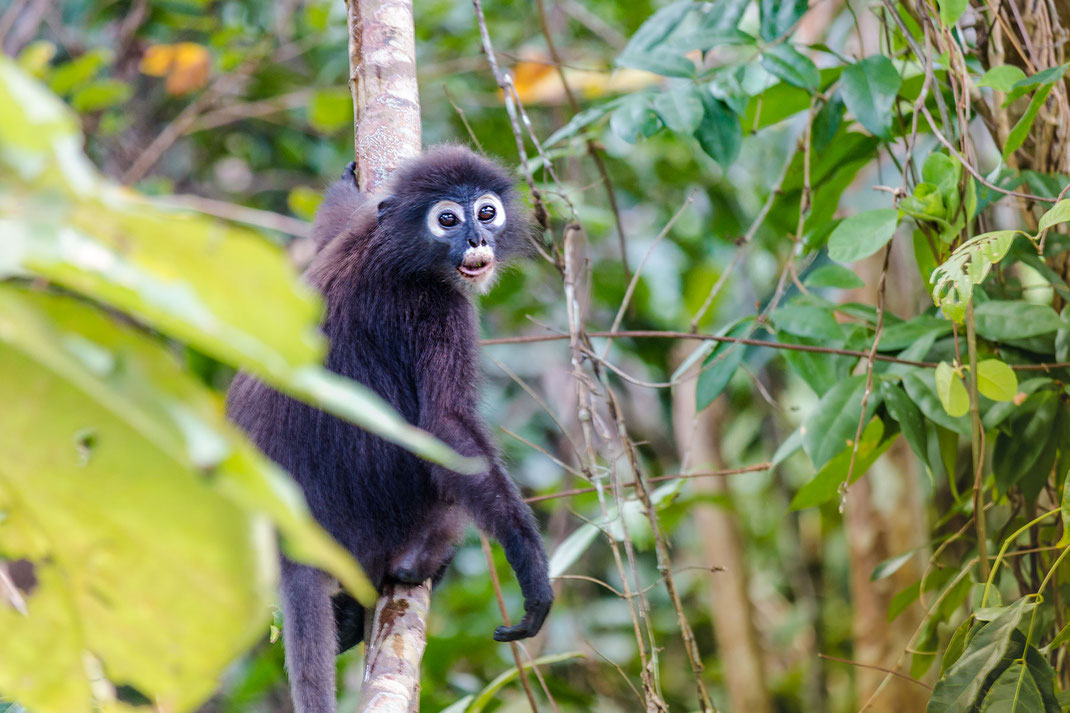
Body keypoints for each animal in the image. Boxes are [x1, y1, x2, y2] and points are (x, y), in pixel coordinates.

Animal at [228, 145, 556, 710]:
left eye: (486, 212)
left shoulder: (358, 230)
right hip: (393, 522)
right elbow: (446, 430)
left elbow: (329, 230)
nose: (478, 240)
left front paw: (345, 185)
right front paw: (532, 573)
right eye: (448, 220)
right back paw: (415, 566)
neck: (391, 248)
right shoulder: (437, 306)